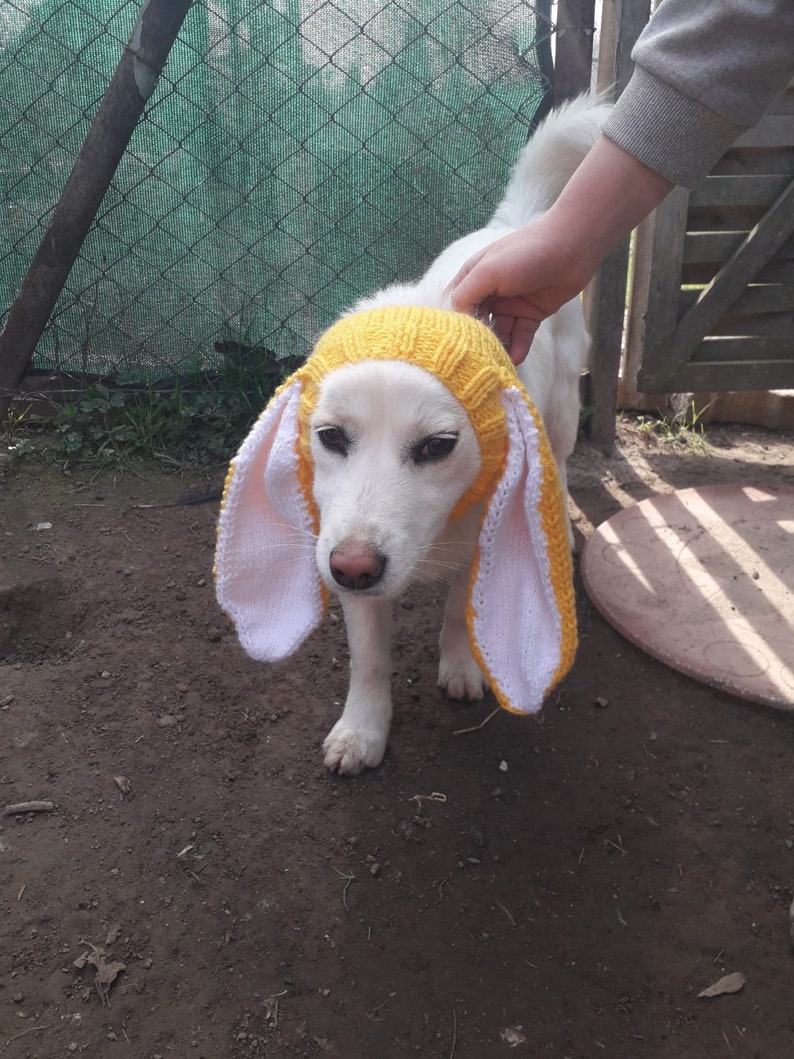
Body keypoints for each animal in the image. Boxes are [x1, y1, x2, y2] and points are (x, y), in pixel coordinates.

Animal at [215, 95, 609, 775]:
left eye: (437, 447)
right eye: (330, 436)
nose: (352, 568)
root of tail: (513, 226)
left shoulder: (481, 542)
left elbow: (456, 613)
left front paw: (461, 667)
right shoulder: (353, 570)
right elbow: (371, 660)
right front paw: (362, 731)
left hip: (561, 416)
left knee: (559, 462)